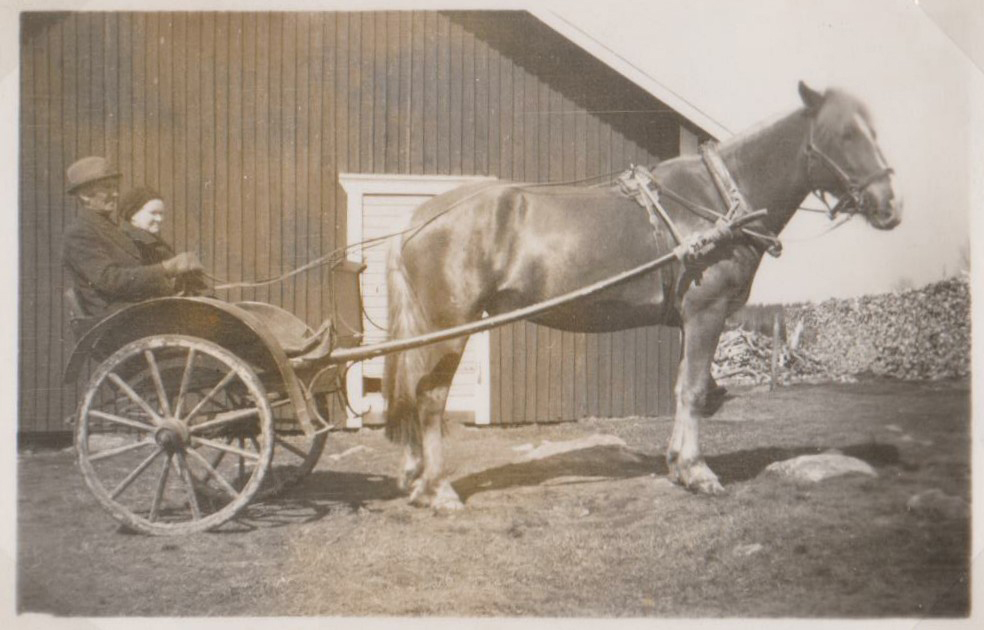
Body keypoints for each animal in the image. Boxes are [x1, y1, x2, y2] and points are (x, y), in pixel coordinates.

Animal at [382, 81, 900, 512]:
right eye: (844, 134)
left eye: (874, 131)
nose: (891, 206)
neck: (717, 198)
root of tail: (419, 219)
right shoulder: (707, 313)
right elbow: (694, 391)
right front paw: (698, 473)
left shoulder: (688, 321)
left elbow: (681, 388)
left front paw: (678, 464)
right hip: (449, 328)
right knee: (430, 398)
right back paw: (439, 489)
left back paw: (416, 478)